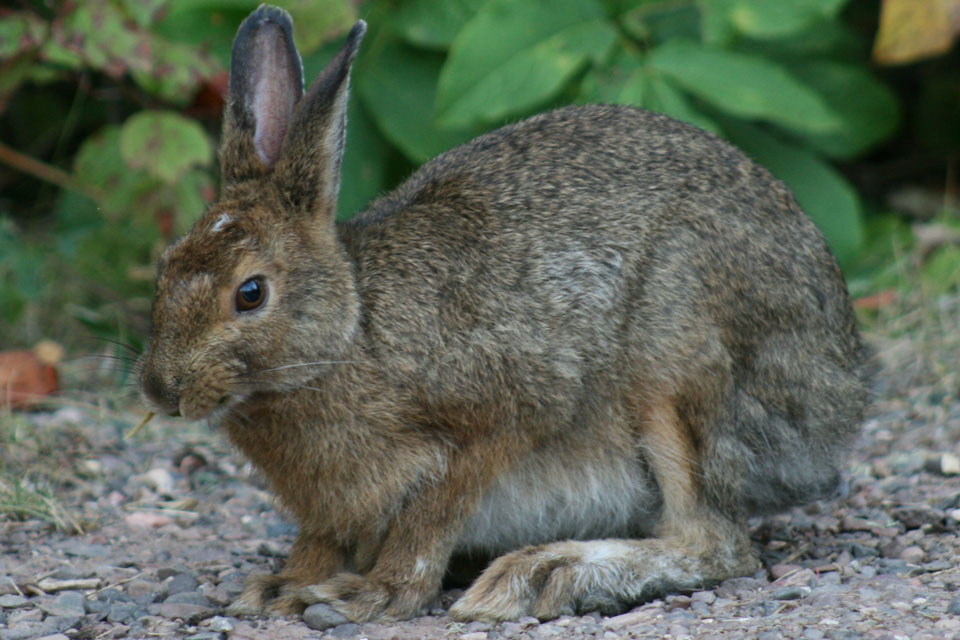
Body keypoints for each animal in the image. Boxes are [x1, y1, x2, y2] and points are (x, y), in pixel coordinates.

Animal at [136, 4, 872, 626]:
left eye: (251, 293)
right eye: (165, 265)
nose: (161, 388)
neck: (347, 334)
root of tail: (844, 383)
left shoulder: (506, 411)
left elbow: (430, 519)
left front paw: (371, 594)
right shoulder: (334, 505)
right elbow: (321, 538)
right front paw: (286, 585)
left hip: (676, 356)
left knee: (714, 543)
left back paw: (544, 575)